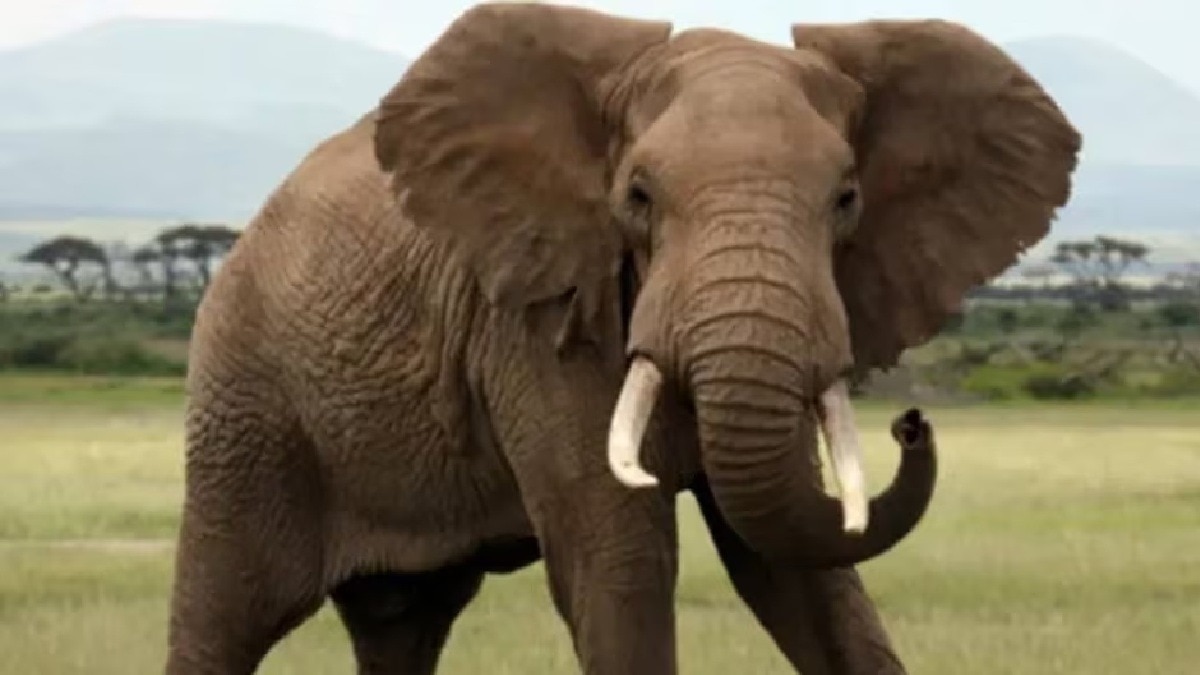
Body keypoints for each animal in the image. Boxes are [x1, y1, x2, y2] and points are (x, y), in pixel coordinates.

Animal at [164, 3, 1080, 674]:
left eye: (847, 199)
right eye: (638, 197)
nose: (911, 423)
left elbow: (797, 566)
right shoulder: (536, 322)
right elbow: (621, 563)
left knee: (402, 620)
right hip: (246, 402)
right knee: (227, 610)